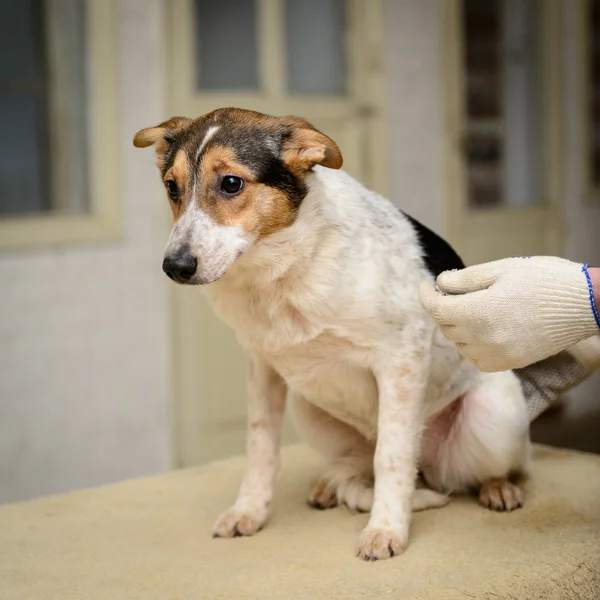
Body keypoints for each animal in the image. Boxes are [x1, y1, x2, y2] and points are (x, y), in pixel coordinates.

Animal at [135, 109, 528, 564]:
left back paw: (498, 487)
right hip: (308, 406)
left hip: (495, 413)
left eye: (231, 183)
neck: (279, 273)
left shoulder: (403, 354)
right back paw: (329, 486)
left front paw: (386, 529)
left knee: (488, 467)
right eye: (171, 186)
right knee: (356, 468)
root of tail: (430, 471)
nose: (174, 267)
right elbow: (260, 448)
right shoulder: (261, 366)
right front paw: (249, 511)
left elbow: (392, 456)